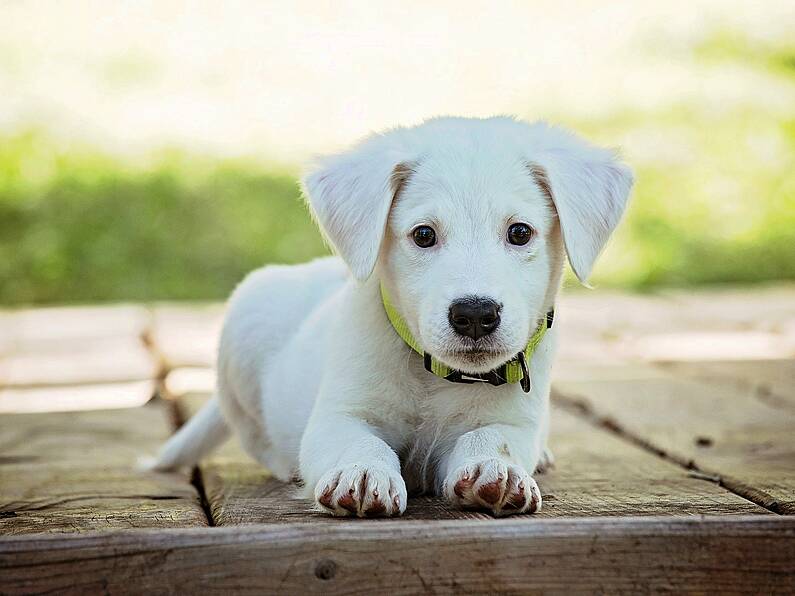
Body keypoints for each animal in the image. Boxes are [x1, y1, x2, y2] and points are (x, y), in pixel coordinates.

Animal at [152, 116, 632, 516]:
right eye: (423, 235)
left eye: (519, 232)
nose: (475, 314)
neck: (434, 376)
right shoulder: (339, 416)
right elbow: (360, 442)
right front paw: (363, 473)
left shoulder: (512, 421)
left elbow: (491, 438)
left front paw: (496, 470)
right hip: (244, 328)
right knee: (256, 437)